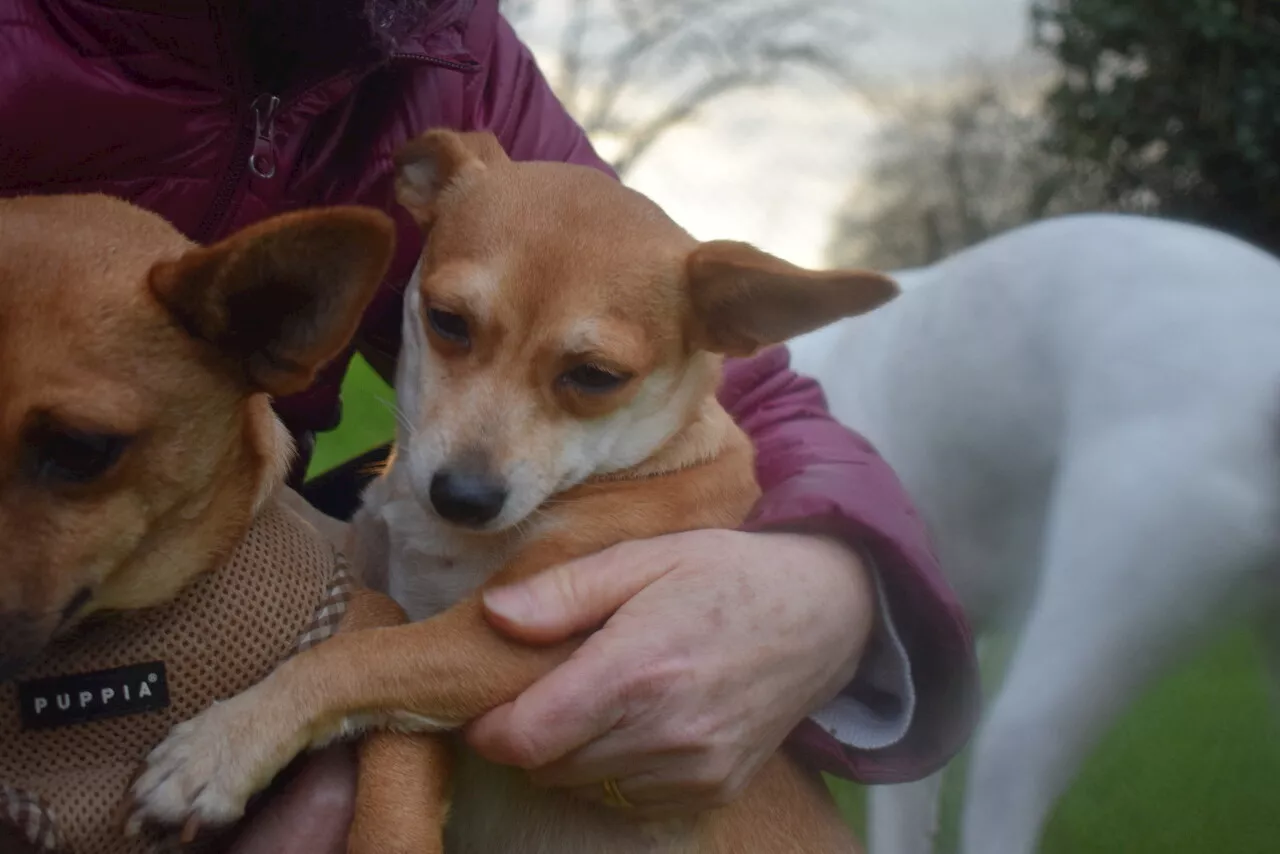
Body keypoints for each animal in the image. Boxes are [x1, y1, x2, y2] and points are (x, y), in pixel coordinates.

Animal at [124, 128, 901, 854]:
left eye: (597, 377)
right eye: (446, 321)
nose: (463, 496)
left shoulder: (518, 645)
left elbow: (359, 656)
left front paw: (222, 748)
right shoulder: (364, 557)